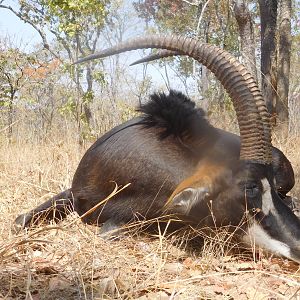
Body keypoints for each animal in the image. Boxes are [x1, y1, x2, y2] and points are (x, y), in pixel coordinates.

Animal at [15, 35, 300, 262]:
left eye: (269, 185)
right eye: (249, 187)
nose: (297, 244)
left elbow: (111, 230)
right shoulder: (71, 194)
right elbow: (20, 221)